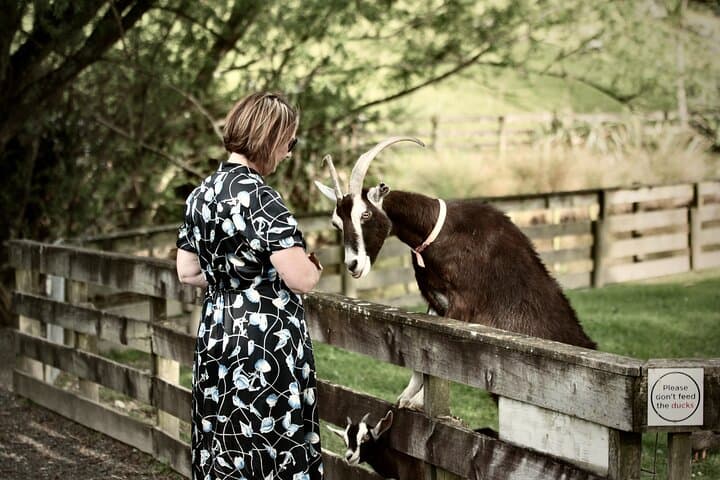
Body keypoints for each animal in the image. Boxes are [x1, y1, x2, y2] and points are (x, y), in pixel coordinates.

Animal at [315, 136, 597, 409]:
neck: (441, 232)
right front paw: (408, 396)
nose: (353, 264)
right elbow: (421, 355)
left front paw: (419, 400)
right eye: (336, 223)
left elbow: (440, 355)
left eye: (365, 214)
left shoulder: (462, 305)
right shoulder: (435, 301)